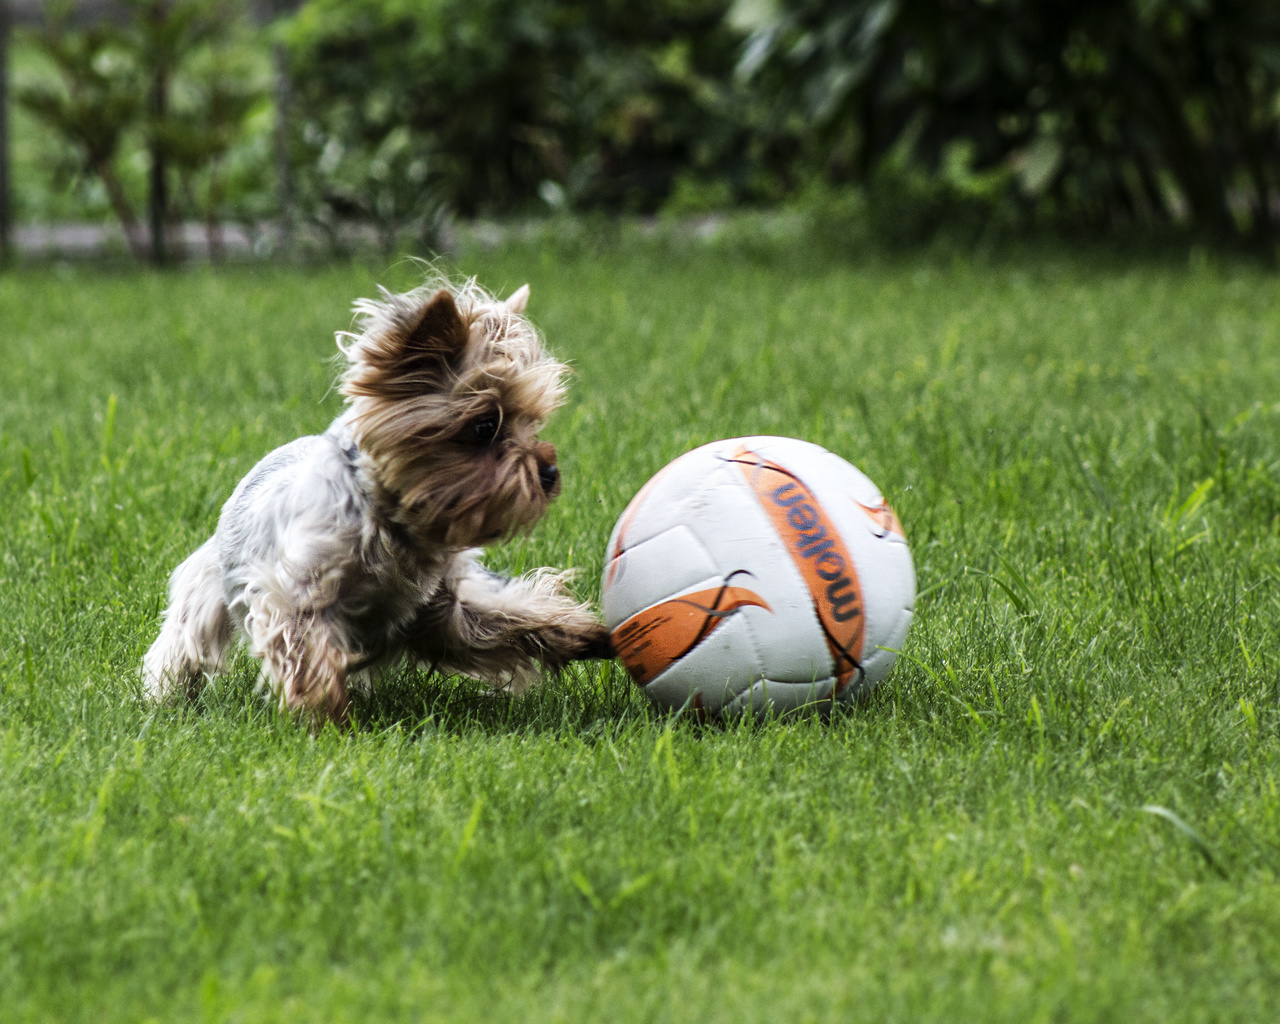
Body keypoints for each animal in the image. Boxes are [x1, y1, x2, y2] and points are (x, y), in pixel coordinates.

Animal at [142, 273, 611, 721]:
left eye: (532, 422)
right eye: (484, 427)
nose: (550, 473)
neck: (394, 526)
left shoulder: (438, 606)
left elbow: (500, 618)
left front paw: (580, 633)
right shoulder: (295, 596)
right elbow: (309, 654)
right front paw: (326, 718)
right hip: (207, 585)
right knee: (184, 641)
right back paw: (161, 696)